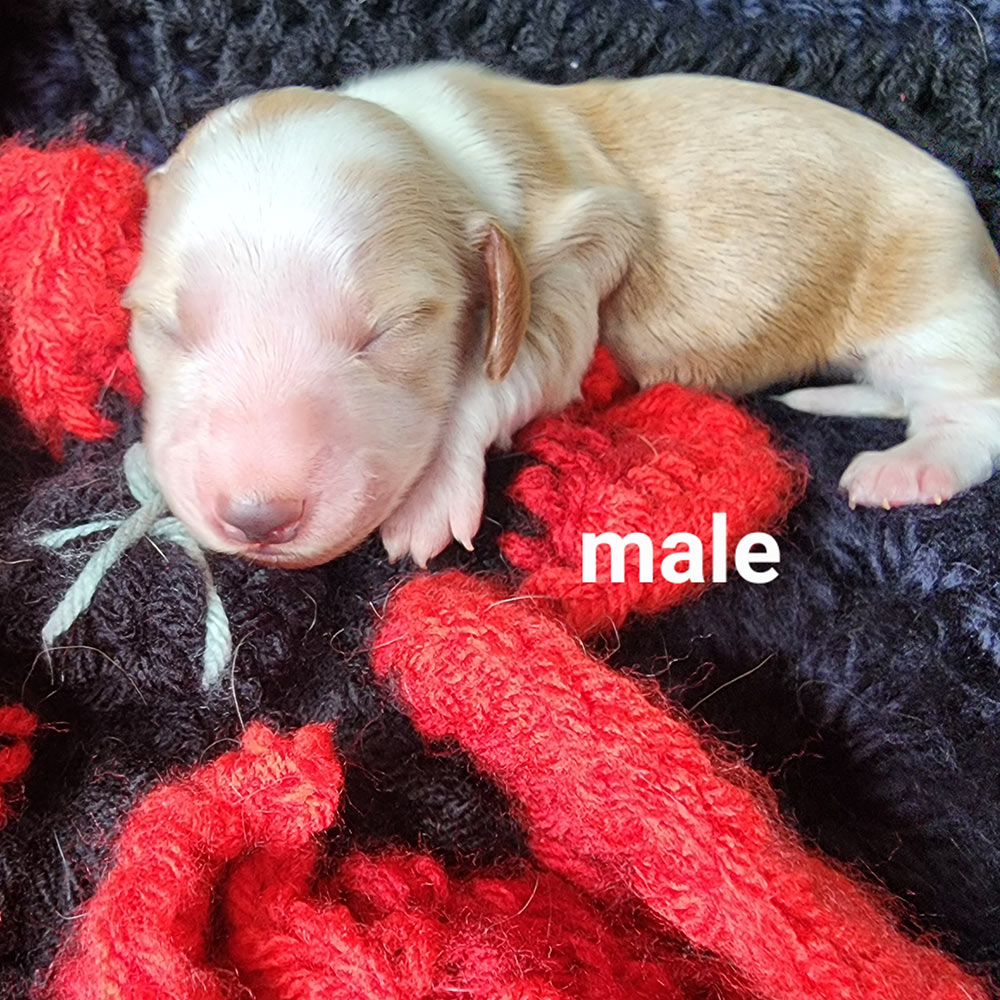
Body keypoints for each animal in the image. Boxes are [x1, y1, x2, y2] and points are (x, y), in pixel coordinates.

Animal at [123, 64, 1000, 572]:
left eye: (389, 331)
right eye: (163, 326)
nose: (257, 517)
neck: (437, 152)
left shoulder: (576, 261)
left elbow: (498, 380)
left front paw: (431, 494)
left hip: (928, 302)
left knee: (971, 405)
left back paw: (910, 466)